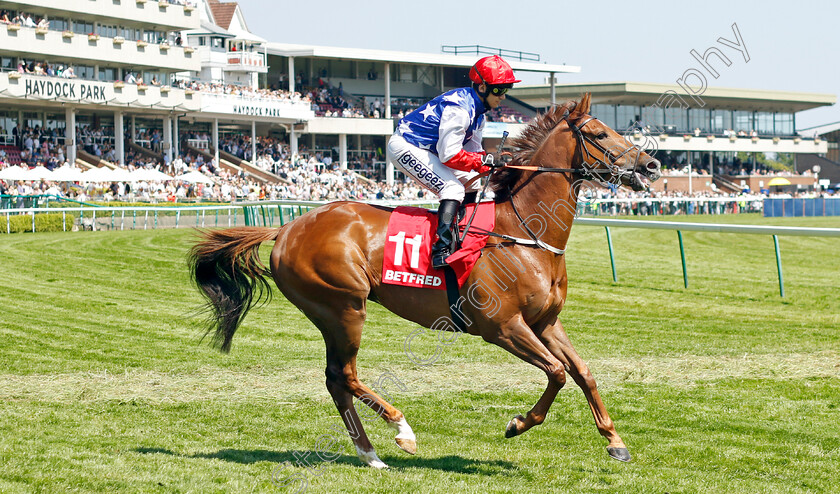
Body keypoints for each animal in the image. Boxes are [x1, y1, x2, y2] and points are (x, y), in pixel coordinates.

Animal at [190, 94, 664, 468]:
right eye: (599, 134)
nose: (652, 164)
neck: (525, 231)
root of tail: (287, 228)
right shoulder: (502, 326)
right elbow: (557, 372)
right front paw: (518, 423)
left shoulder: (544, 321)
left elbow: (582, 371)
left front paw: (615, 442)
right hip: (344, 307)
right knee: (344, 374)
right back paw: (401, 430)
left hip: (332, 313)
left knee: (335, 380)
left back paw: (371, 455)